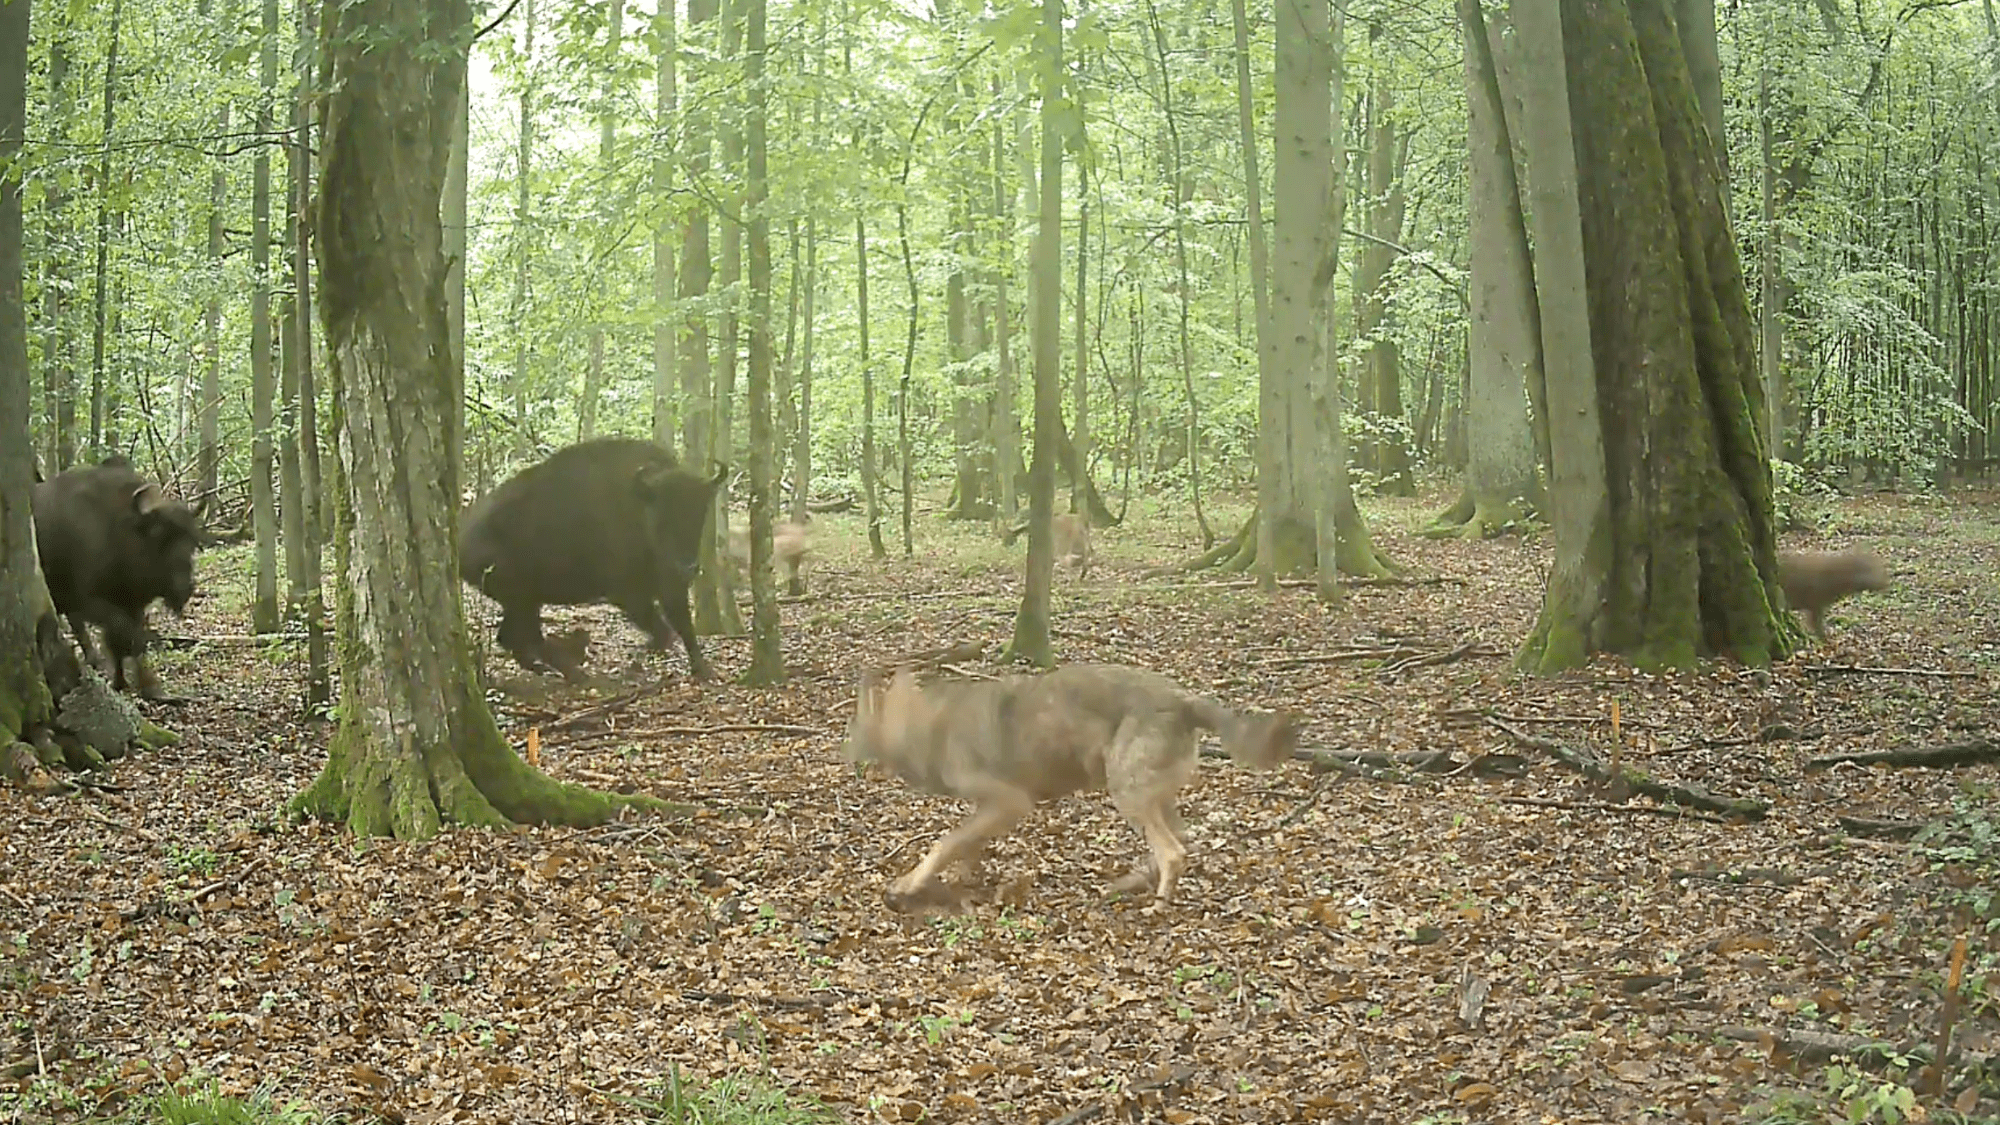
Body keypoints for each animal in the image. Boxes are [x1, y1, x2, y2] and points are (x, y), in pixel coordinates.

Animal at [844, 663, 1299, 907]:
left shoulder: (1011, 803)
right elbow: (965, 846)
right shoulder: (988, 810)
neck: (931, 730)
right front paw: (963, 878)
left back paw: (1157, 905)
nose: (843, 754)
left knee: (1173, 852)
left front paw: (910, 884)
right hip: (1150, 797)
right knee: (1179, 843)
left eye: (857, 727)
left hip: (1127, 795)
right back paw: (1129, 884)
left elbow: (943, 843)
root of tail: (1183, 698)